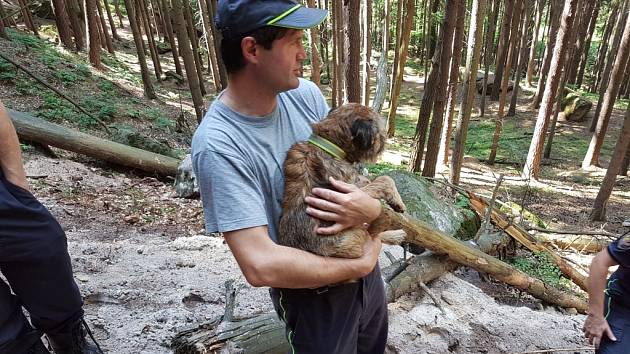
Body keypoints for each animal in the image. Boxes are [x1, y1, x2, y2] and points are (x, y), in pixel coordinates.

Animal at [278, 102, 408, 258]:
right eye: (380, 133)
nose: (385, 141)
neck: (330, 146)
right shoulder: (349, 194)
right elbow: (385, 178)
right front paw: (398, 201)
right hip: (355, 235)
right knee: (369, 234)